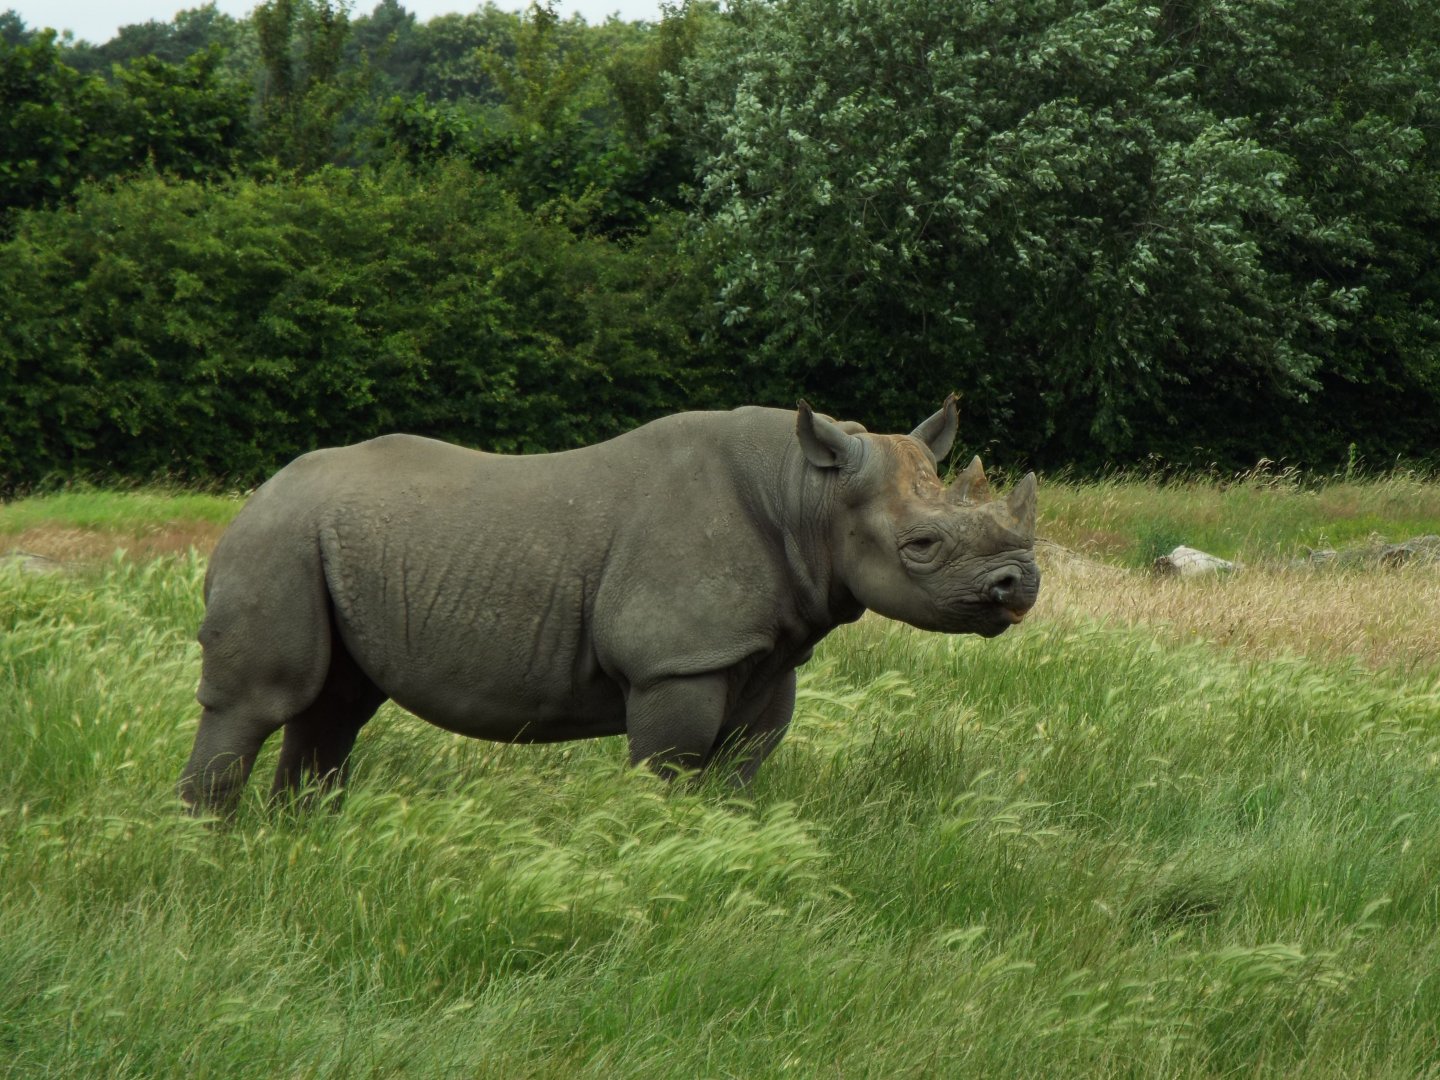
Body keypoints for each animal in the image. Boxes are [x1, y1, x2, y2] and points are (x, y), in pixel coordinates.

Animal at [178, 398, 1040, 814]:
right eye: (920, 547)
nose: (1021, 587)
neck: (809, 495)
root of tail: (256, 494)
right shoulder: (676, 664)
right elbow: (667, 771)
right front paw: (654, 854)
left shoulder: (768, 654)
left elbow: (740, 773)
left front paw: (724, 852)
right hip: (278, 540)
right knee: (259, 703)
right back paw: (211, 853)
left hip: (324, 543)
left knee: (334, 709)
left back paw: (305, 842)